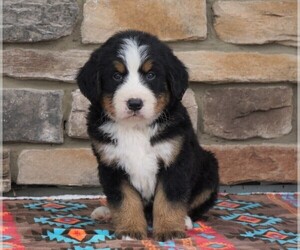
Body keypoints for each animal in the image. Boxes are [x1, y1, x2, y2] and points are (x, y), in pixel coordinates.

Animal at [76, 30, 219, 241]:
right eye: (116, 76)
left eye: (151, 75)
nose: (135, 103)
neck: (136, 128)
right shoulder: (112, 165)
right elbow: (124, 200)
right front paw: (130, 230)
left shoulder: (175, 160)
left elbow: (169, 200)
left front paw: (169, 230)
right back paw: (105, 212)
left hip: (209, 168)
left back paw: (185, 220)